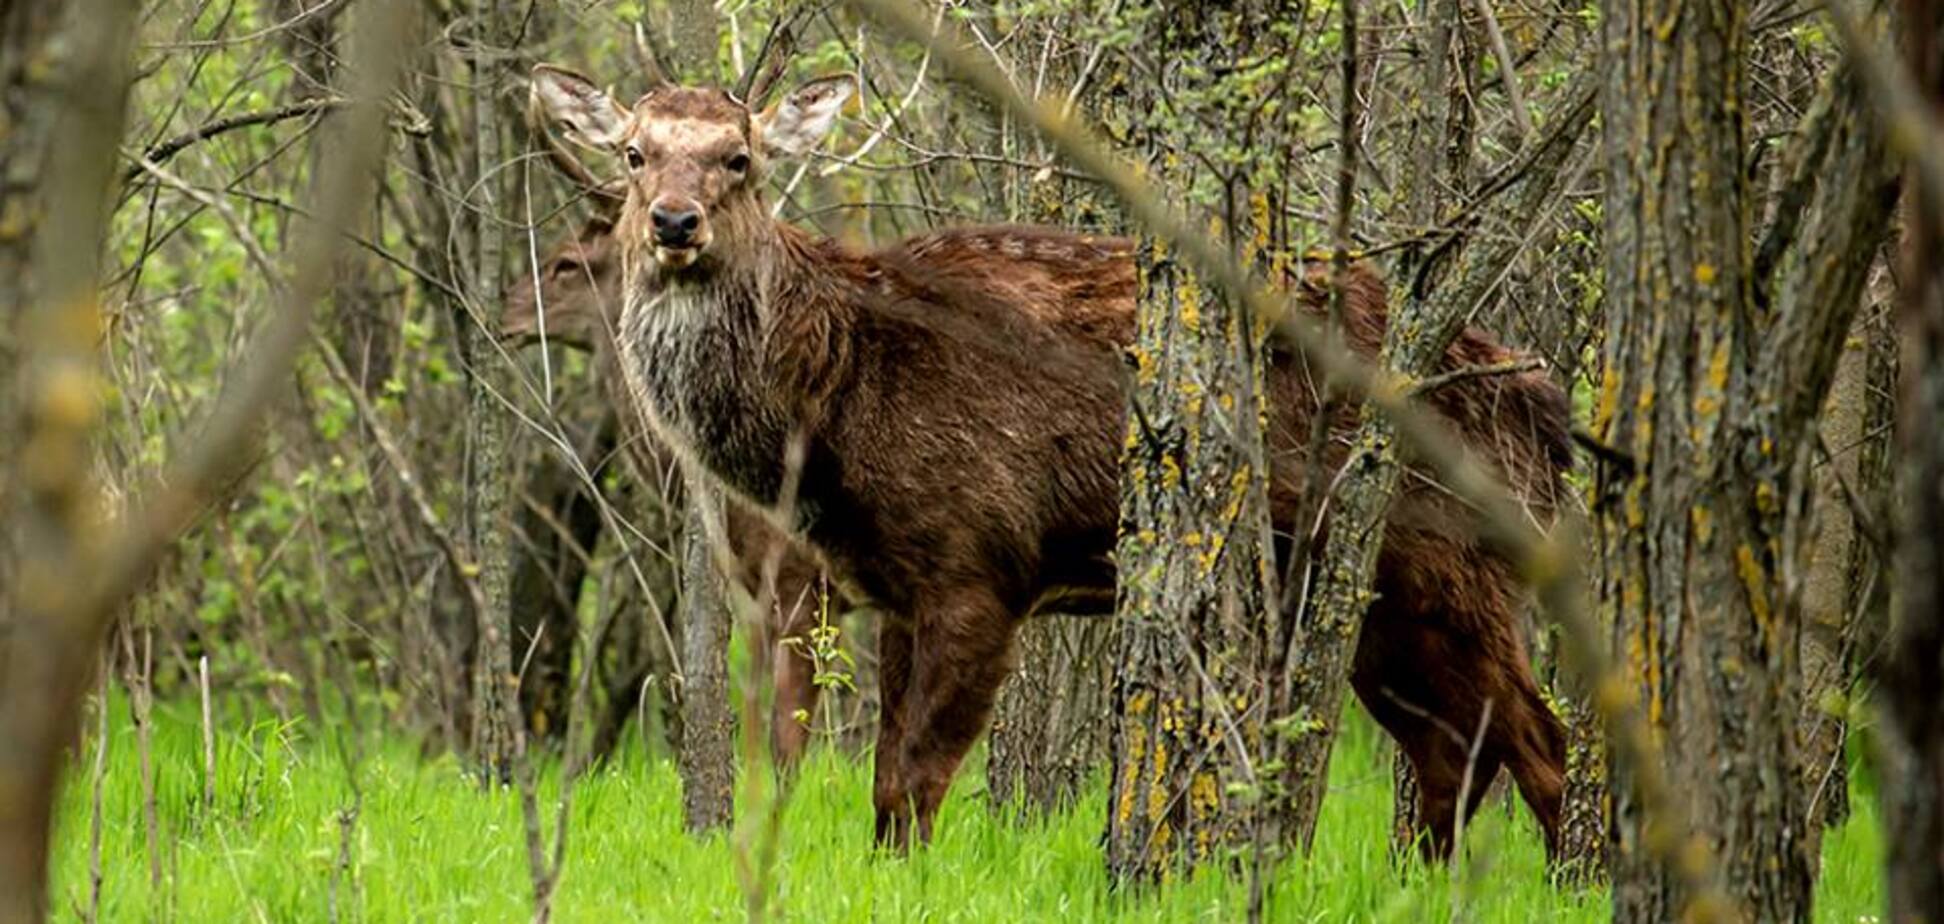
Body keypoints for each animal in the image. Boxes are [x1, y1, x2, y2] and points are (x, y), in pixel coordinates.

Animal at [532, 63, 1578, 859]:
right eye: (634, 152)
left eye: (739, 159)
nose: (674, 222)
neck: (835, 395)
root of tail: (1545, 410)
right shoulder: (896, 586)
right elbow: (884, 784)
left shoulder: (979, 562)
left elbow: (914, 779)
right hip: (1373, 590)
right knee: (1451, 754)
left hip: (1446, 560)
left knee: (1542, 739)